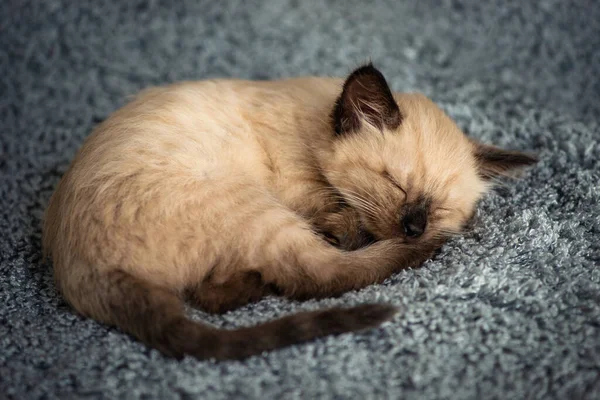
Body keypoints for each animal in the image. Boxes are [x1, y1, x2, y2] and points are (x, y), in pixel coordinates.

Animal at [43, 63, 540, 360]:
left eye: (439, 207)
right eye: (395, 184)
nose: (415, 227)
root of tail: (84, 271)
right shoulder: (305, 195)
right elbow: (343, 230)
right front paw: (356, 229)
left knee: (215, 295)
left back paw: (255, 282)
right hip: (250, 200)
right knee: (317, 275)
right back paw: (425, 250)